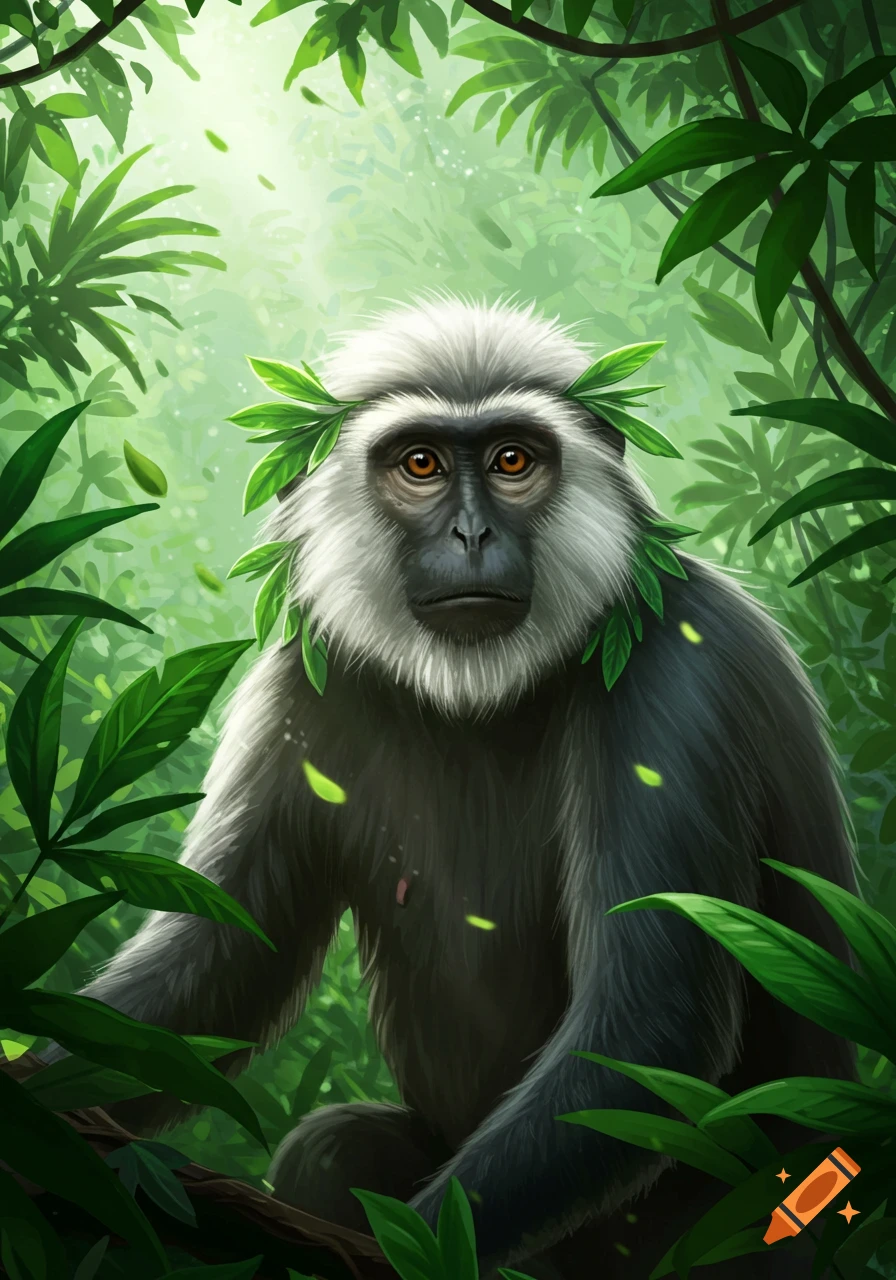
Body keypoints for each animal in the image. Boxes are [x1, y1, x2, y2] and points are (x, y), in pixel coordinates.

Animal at [43, 296, 858, 1279]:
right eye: (421, 464)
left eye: (512, 460)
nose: (472, 535)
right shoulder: (307, 683)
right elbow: (218, 965)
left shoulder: (677, 661)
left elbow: (645, 1030)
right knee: (331, 1150)